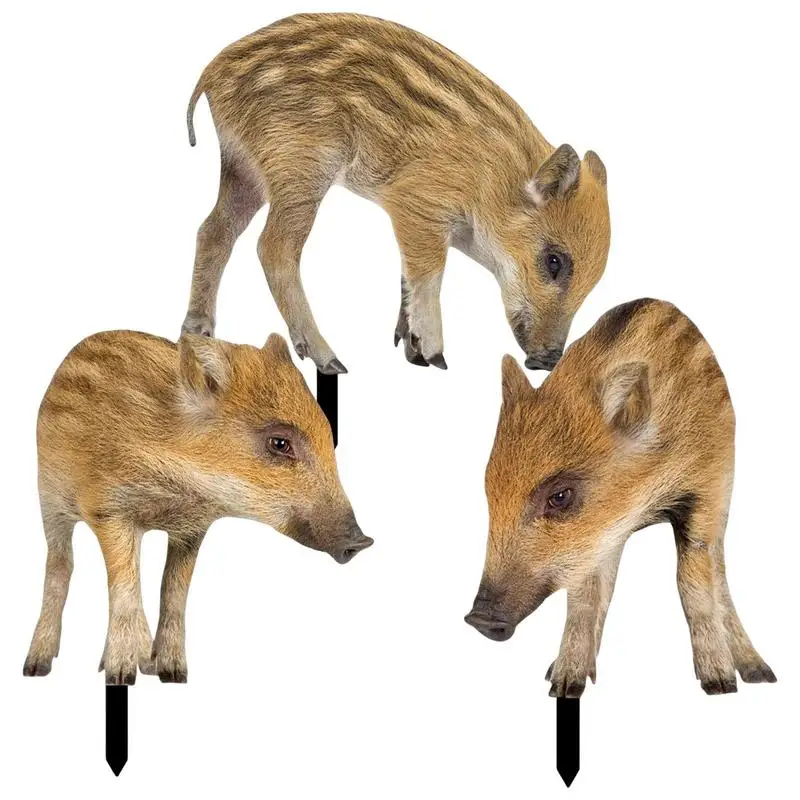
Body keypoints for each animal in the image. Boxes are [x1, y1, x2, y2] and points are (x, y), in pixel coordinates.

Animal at [23, 330, 372, 684]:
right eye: (279, 443)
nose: (362, 541)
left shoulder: (191, 530)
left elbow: (173, 592)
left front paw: (173, 675)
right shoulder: (109, 510)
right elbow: (124, 588)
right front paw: (120, 677)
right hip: (49, 503)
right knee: (60, 566)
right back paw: (36, 667)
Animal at [182, 12, 611, 374]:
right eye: (554, 261)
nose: (548, 361)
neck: (492, 185)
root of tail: (211, 73)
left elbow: (406, 274)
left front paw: (411, 351)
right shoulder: (416, 203)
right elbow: (427, 273)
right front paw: (435, 359)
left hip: (244, 168)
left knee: (214, 230)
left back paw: (196, 332)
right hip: (300, 166)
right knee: (273, 247)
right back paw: (330, 361)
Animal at [465, 298, 776, 696]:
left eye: (560, 496)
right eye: (489, 490)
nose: (480, 619)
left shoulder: (705, 490)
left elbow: (693, 583)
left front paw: (720, 685)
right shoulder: (596, 538)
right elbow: (586, 596)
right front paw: (563, 686)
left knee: (717, 574)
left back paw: (758, 673)